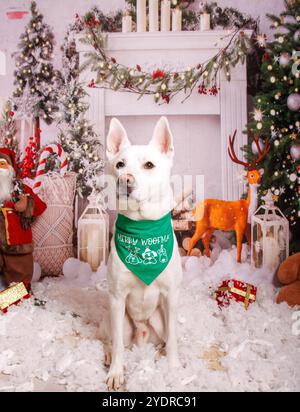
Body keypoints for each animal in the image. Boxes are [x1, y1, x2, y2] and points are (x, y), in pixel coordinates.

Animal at [102, 115, 183, 390]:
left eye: (149, 165)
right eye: (119, 164)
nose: (124, 179)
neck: (143, 227)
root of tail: (142, 335)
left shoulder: (171, 296)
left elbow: (174, 341)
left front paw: (173, 369)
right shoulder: (116, 298)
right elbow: (117, 344)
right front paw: (116, 372)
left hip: (160, 320)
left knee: (167, 337)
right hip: (115, 320)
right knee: (113, 340)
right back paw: (108, 353)